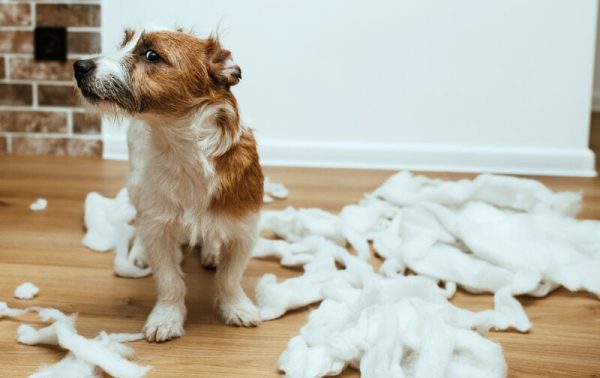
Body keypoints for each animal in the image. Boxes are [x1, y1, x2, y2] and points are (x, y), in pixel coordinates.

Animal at [73, 25, 264, 340]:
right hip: (137, 184)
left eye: (152, 55)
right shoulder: (159, 227)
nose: (79, 66)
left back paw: (211, 251)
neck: (183, 151)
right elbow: (169, 280)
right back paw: (140, 252)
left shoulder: (243, 230)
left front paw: (236, 307)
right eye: (123, 43)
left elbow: (229, 277)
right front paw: (167, 318)